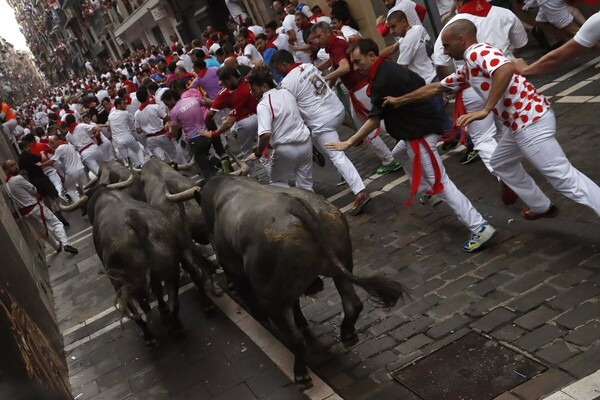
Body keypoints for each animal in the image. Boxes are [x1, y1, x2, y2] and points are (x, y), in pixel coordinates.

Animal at [195, 176, 410, 388]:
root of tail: (294, 204)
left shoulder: (236, 269)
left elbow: (251, 296)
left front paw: (262, 318)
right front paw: (302, 322)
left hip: (271, 295)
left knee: (296, 338)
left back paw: (301, 374)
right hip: (340, 264)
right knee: (352, 304)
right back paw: (347, 335)